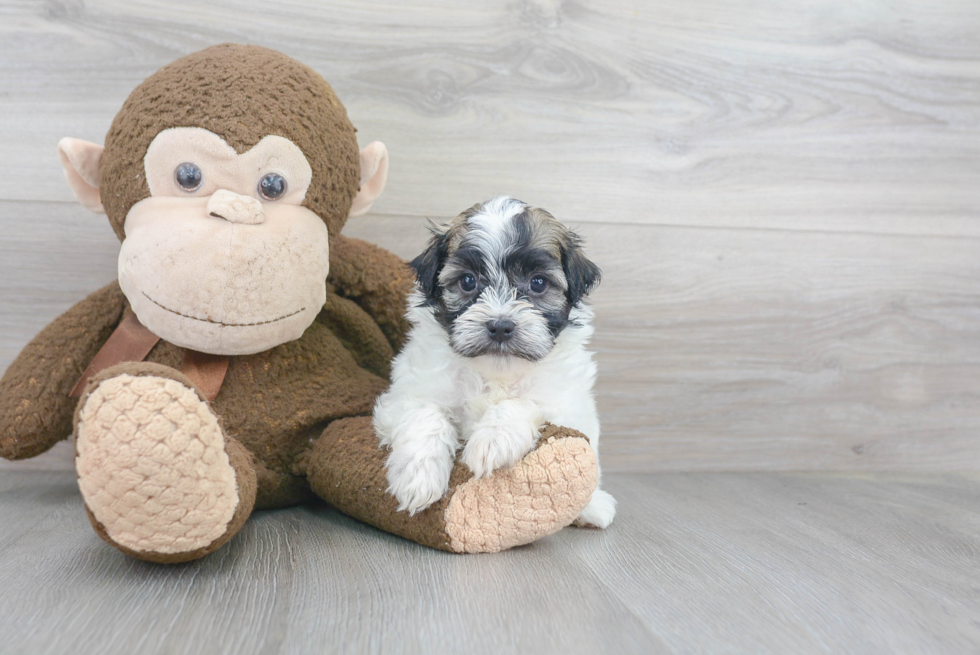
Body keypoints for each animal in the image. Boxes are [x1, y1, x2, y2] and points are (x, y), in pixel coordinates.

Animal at [372, 195, 616, 528]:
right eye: (467, 281)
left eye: (538, 283)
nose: (500, 326)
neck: (495, 372)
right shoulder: (405, 394)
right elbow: (425, 415)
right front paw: (418, 478)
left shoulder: (566, 404)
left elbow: (525, 403)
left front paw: (492, 440)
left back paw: (593, 507)